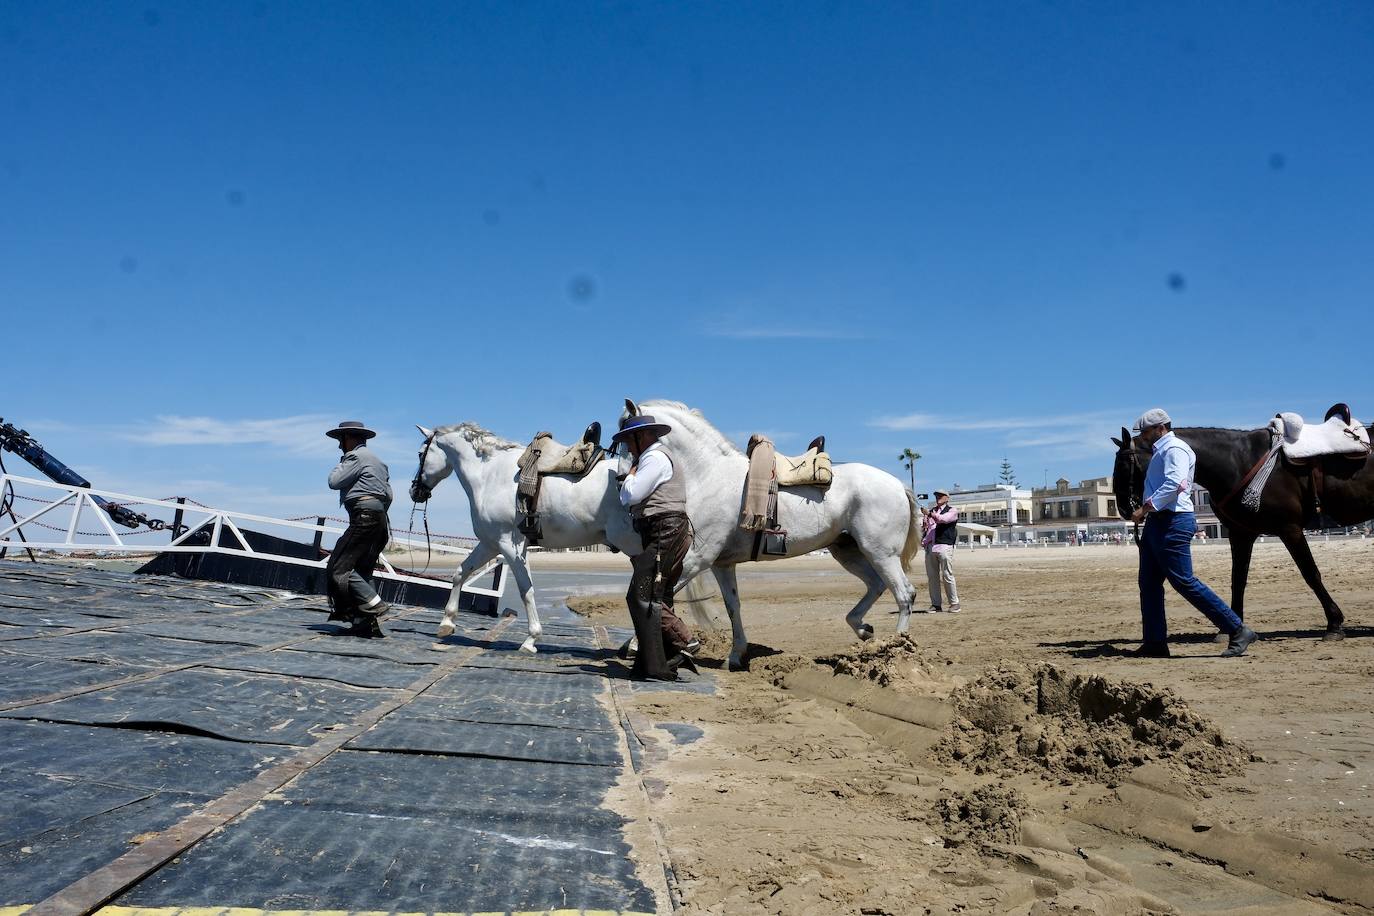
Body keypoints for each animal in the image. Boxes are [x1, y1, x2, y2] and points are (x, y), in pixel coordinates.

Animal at [409, 422, 640, 650]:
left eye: (421, 454)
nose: (414, 491)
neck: (489, 474)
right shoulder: (490, 544)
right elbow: (461, 572)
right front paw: (447, 623)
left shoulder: (510, 546)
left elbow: (525, 590)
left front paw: (531, 638)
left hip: (631, 544)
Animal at [623, 398, 923, 670]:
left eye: (624, 439)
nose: (623, 479)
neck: (712, 475)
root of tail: (897, 484)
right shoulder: (722, 564)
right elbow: (733, 606)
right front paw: (735, 656)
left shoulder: (697, 559)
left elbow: (658, 596)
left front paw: (634, 644)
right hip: (847, 551)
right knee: (876, 585)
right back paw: (863, 629)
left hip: (881, 553)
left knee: (904, 593)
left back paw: (897, 649)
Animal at [1104, 425, 1374, 642]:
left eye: (1124, 464)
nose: (1124, 508)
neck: (1239, 461)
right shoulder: (1241, 533)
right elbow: (1238, 580)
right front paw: (1230, 629)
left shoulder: (1290, 529)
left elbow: (1311, 574)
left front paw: (1334, 624)